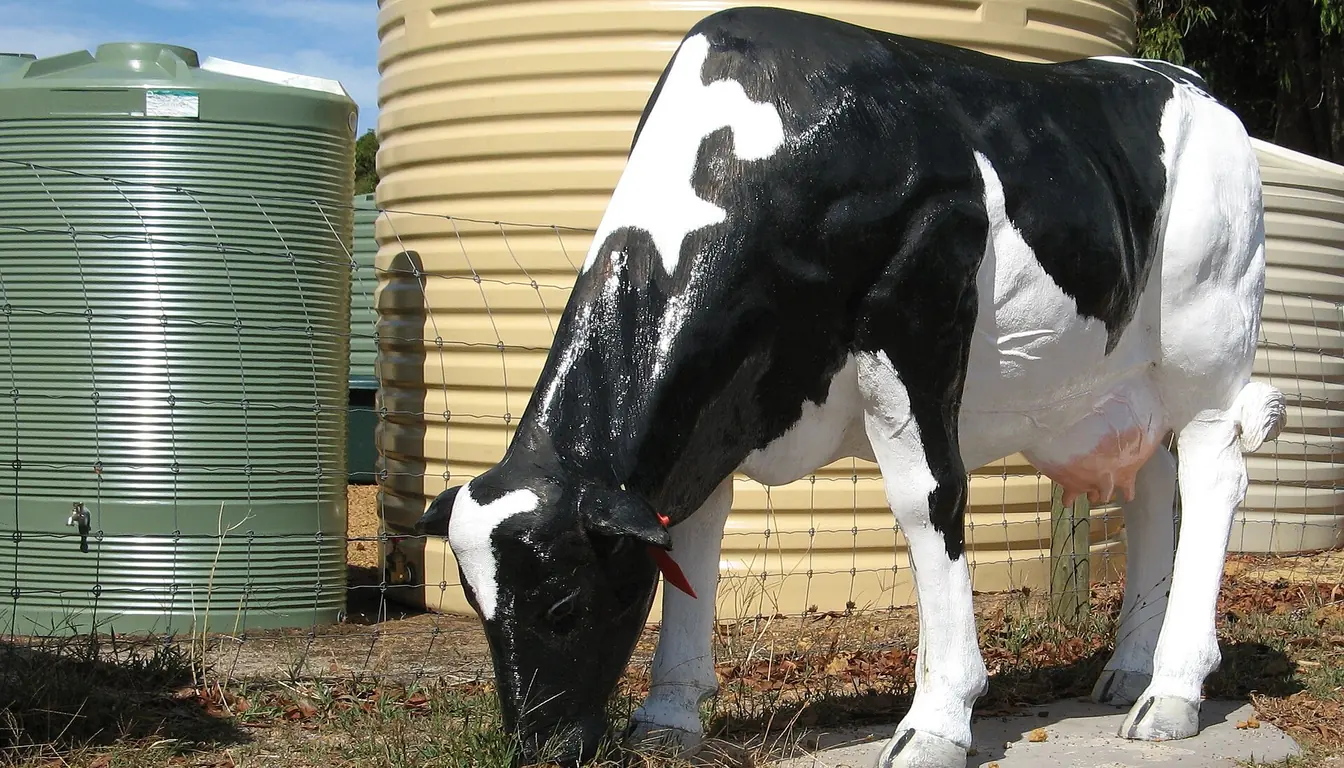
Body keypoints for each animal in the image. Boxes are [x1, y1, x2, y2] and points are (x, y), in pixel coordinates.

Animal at [415, 6, 1287, 767]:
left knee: (1212, 472)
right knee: (1152, 490)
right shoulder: (717, 408)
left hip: (1206, 344)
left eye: (562, 605)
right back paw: (1132, 667)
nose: (539, 749)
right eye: (476, 605)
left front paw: (939, 720)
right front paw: (668, 716)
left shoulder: (920, 304)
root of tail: (1182, 79)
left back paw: (1171, 691)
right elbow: (692, 530)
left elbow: (928, 500)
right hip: (1124, 391)